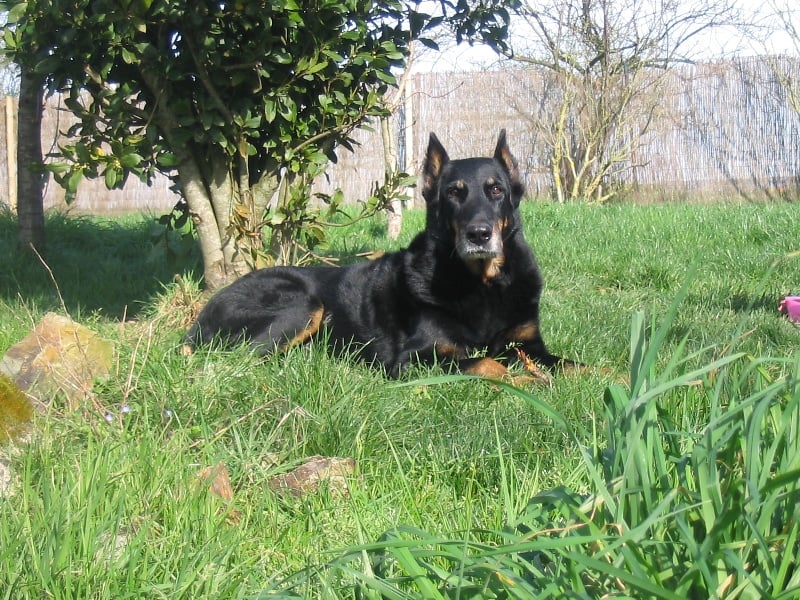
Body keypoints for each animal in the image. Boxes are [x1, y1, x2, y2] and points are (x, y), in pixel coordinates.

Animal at [185, 130, 574, 380]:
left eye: (496, 190)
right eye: (453, 193)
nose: (479, 234)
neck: (482, 283)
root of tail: (201, 317)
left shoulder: (529, 343)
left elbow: (571, 364)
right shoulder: (414, 359)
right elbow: (489, 365)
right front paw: (529, 381)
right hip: (302, 305)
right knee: (238, 359)